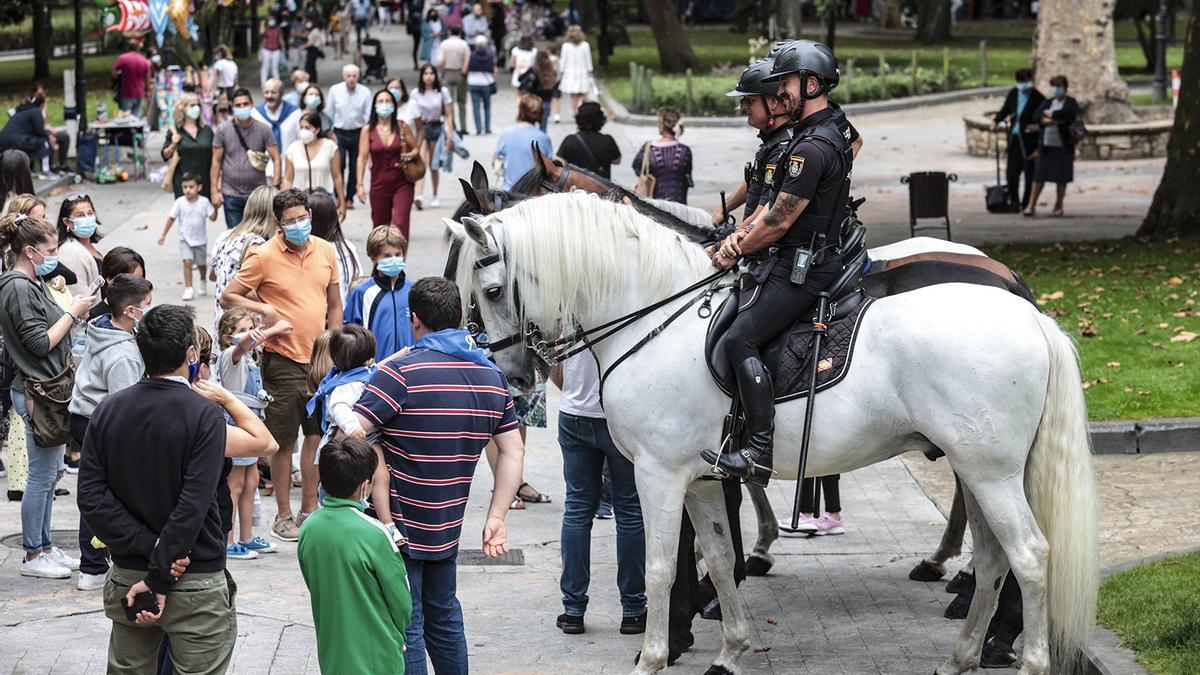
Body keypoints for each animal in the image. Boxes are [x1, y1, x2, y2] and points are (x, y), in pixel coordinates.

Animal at [448, 190, 1099, 672]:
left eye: (489, 291)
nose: (512, 376)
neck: (653, 315)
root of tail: (1030, 315)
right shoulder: (701, 479)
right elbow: (717, 555)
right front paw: (732, 651)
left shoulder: (659, 475)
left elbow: (661, 567)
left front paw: (654, 657)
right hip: (977, 469)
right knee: (992, 559)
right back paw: (961, 655)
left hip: (991, 473)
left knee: (1029, 555)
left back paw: (1026, 659)